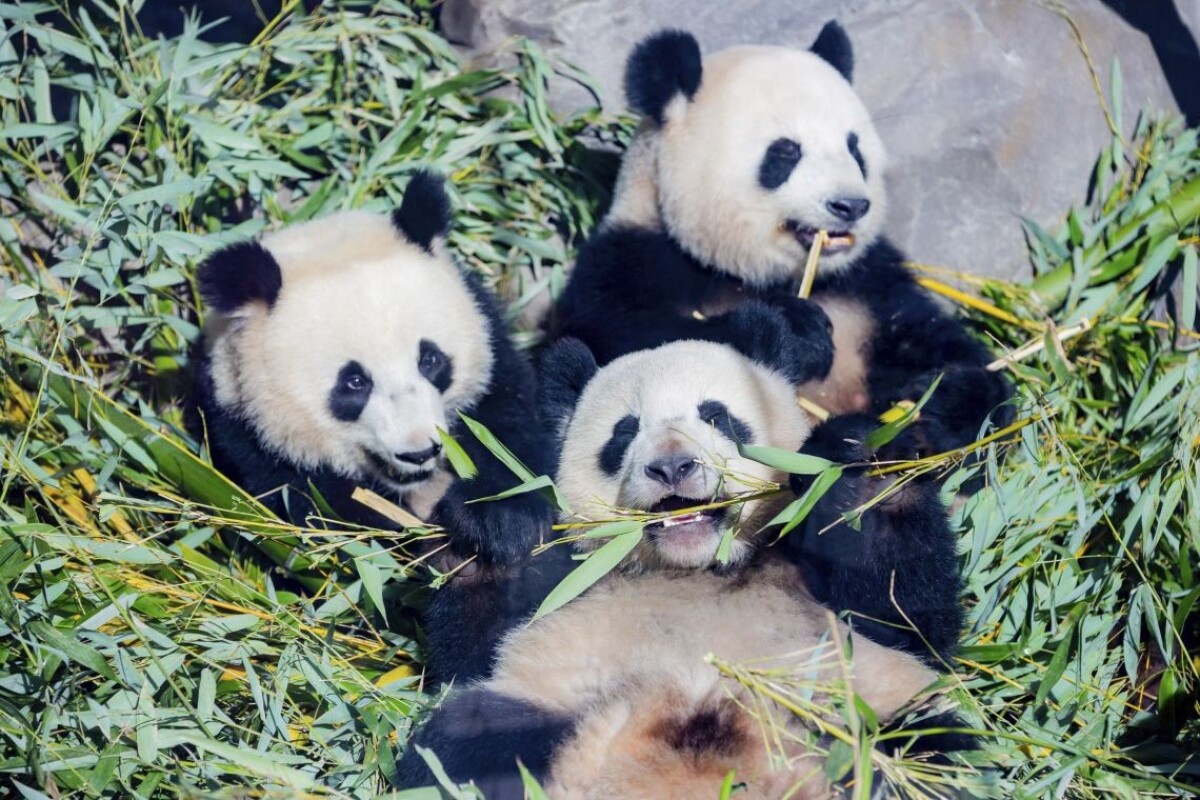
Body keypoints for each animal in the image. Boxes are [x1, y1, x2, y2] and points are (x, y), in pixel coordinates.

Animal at [191, 172, 558, 681]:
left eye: (430, 360)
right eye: (354, 382)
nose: (419, 452)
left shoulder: (497, 372)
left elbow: (516, 449)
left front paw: (495, 524)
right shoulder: (251, 444)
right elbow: (346, 554)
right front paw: (459, 560)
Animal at [397, 307, 969, 798]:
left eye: (717, 416)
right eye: (624, 431)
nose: (672, 467)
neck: (696, 567)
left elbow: (906, 615)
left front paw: (861, 465)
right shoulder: (570, 580)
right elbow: (473, 650)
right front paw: (497, 525)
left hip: (863, 711)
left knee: (930, 752)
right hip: (547, 708)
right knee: (466, 742)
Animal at [556, 21, 1013, 462]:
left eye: (855, 149)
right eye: (786, 152)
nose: (850, 205)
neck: (758, 273)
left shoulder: (870, 284)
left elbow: (933, 342)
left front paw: (947, 400)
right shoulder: (631, 259)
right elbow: (631, 343)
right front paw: (798, 331)